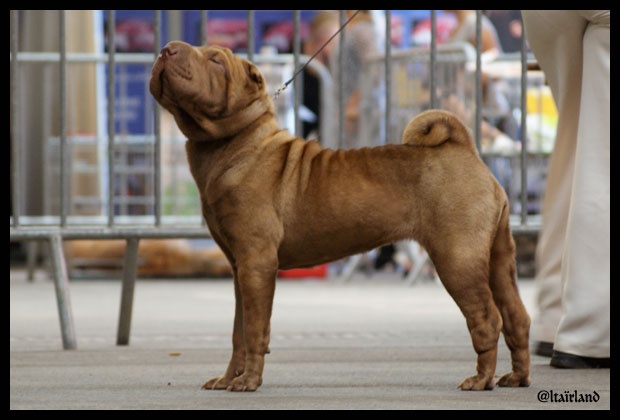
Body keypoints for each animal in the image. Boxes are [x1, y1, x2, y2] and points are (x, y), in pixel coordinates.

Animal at [149, 41, 531, 392]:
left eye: (216, 61)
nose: (167, 48)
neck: (234, 145)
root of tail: (464, 148)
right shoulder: (239, 268)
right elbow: (237, 332)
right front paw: (229, 378)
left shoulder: (256, 264)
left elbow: (255, 330)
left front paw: (248, 382)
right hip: (497, 257)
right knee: (516, 315)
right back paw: (516, 377)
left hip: (457, 259)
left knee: (487, 318)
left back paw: (481, 379)